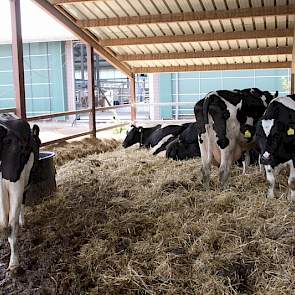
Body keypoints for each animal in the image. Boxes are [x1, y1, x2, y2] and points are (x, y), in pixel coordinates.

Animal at [0, 114, 40, 272]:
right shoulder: (24, 185)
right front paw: (23, 222)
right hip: (15, 186)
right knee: (10, 224)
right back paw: (14, 263)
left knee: (5, 225)